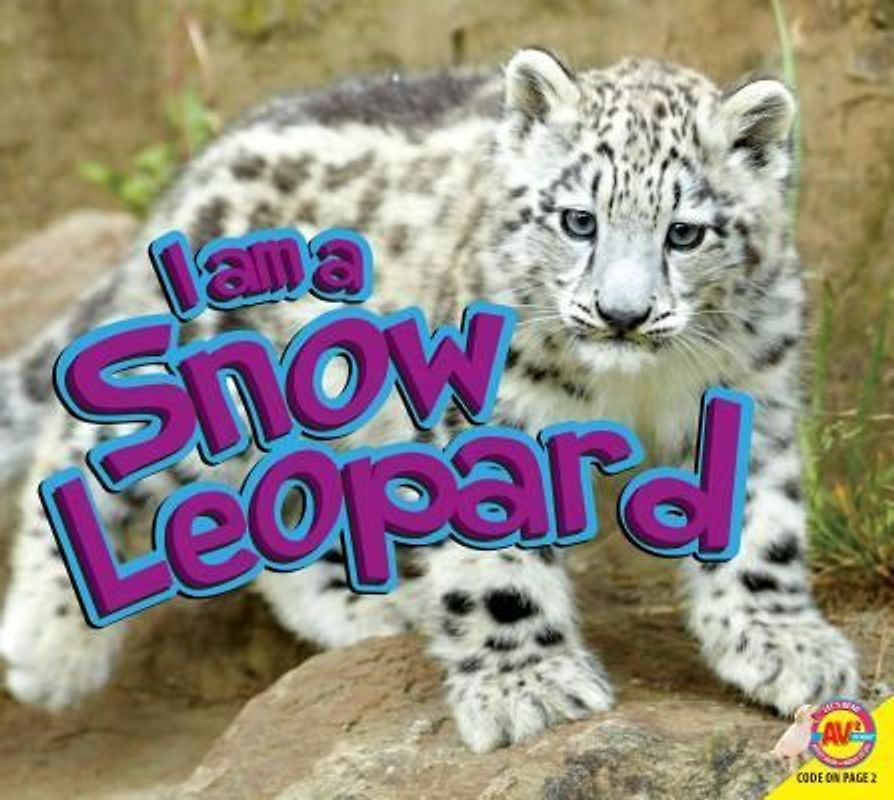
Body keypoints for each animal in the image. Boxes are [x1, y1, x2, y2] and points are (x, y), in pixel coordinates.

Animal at [0, 48, 859, 753]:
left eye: (685, 233)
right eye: (578, 219)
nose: (622, 314)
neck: (634, 386)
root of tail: (198, 170)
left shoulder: (752, 395)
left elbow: (761, 531)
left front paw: (788, 648)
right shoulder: (498, 414)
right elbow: (499, 564)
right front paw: (528, 688)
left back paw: (369, 607)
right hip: (224, 385)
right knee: (84, 442)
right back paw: (50, 649)